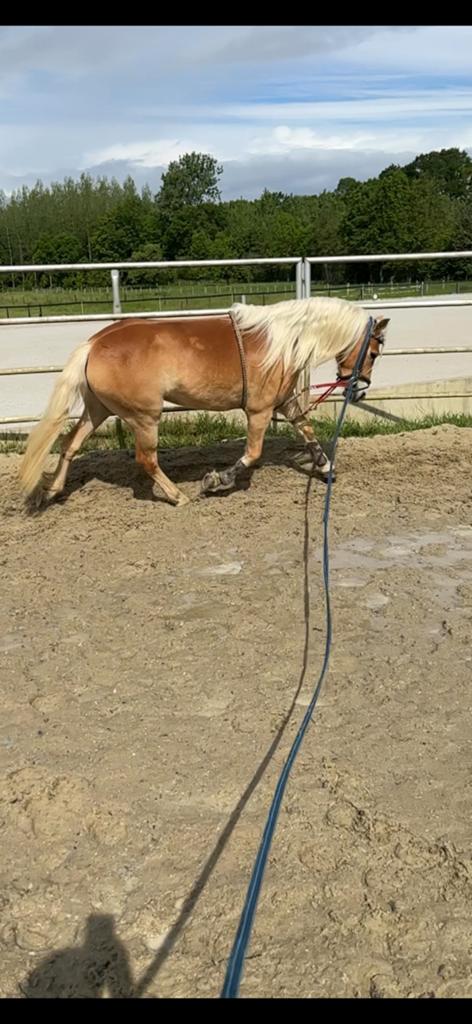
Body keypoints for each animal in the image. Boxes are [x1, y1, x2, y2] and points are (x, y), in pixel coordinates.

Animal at [19, 297, 389, 508]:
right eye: (372, 353)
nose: (359, 390)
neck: (280, 341)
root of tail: (95, 343)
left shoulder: (285, 403)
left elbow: (308, 432)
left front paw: (327, 468)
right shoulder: (259, 411)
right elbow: (253, 454)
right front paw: (216, 481)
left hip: (98, 410)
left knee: (69, 445)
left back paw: (52, 491)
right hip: (144, 417)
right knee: (146, 460)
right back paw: (177, 496)